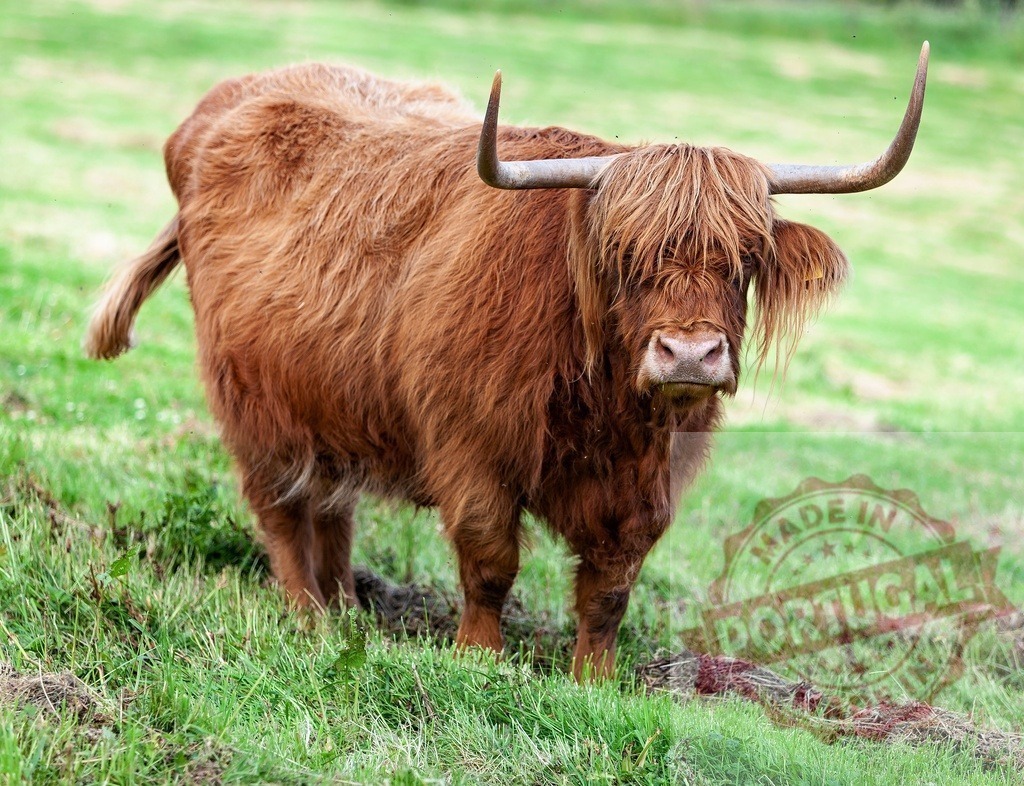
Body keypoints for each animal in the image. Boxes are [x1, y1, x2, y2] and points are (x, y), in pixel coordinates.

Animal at [86, 44, 929, 679]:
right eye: (622, 257)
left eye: (744, 258)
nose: (689, 353)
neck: (607, 411)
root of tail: (223, 105)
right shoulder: (471, 447)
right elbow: (490, 559)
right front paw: (479, 657)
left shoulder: (652, 481)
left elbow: (611, 586)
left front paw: (595, 678)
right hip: (253, 404)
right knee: (282, 510)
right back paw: (308, 617)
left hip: (332, 400)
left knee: (332, 508)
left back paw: (347, 608)